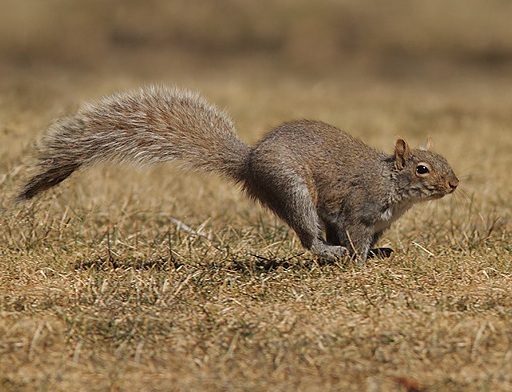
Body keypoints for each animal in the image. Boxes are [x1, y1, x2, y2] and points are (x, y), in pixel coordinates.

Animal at [18, 86, 460, 264]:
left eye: (444, 159)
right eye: (422, 168)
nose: (454, 184)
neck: (392, 187)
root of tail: (249, 161)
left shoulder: (376, 222)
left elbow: (367, 240)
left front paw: (375, 254)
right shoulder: (357, 210)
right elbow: (352, 236)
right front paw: (356, 260)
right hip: (291, 190)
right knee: (308, 238)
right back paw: (329, 253)